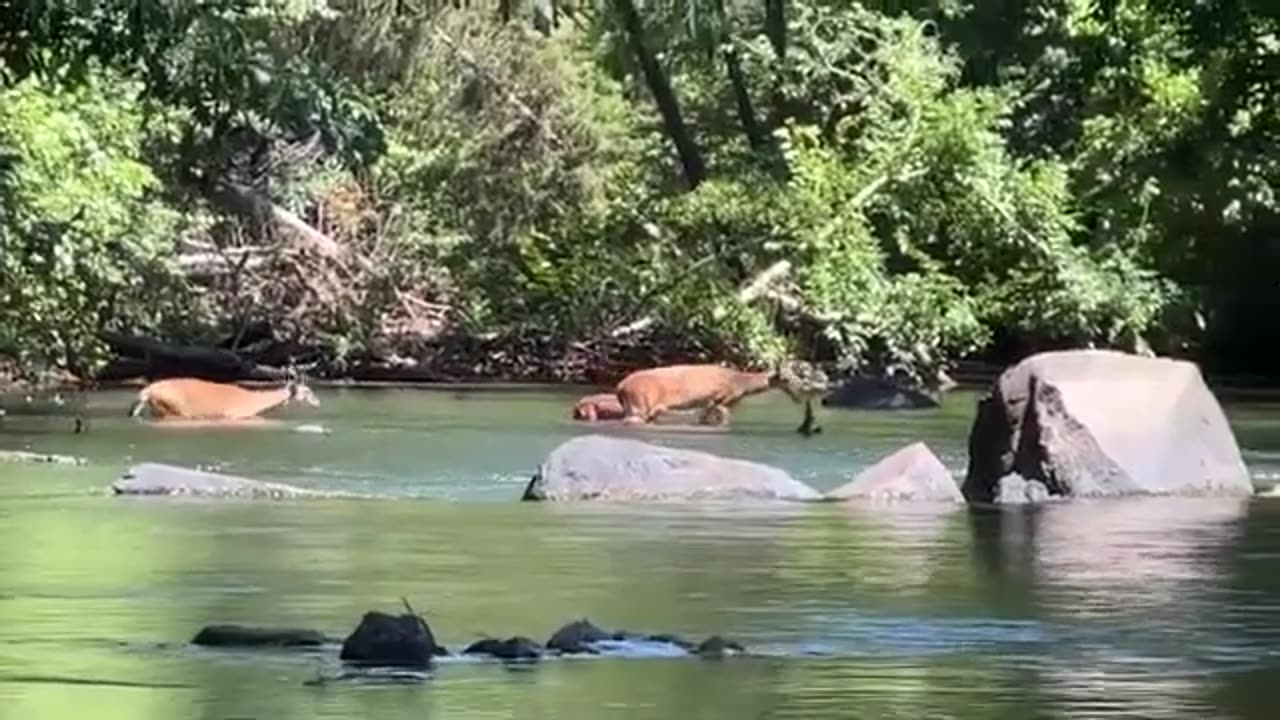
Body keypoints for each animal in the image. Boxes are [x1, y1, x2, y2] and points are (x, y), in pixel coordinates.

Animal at [611, 361, 798, 422]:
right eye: (786, 379)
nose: (798, 397)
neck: (742, 385)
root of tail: (620, 386)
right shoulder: (721, 397)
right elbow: (724, 417)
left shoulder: (711, 402)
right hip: (640, 402)